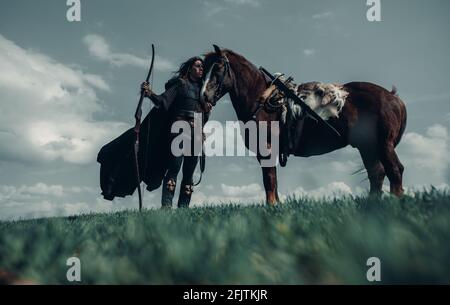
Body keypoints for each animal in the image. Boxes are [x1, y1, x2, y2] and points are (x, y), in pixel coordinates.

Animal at [200, 45, 408, 204]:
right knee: (377, 174)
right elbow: (273, 181)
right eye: (203, 70)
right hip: (367, 146)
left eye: (218, 68)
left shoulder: (266, 150)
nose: (204, 96)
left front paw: (271, 206)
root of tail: (393, 97)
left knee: (394, 171)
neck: (261, 100)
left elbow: (269, 180)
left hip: (382, 144)